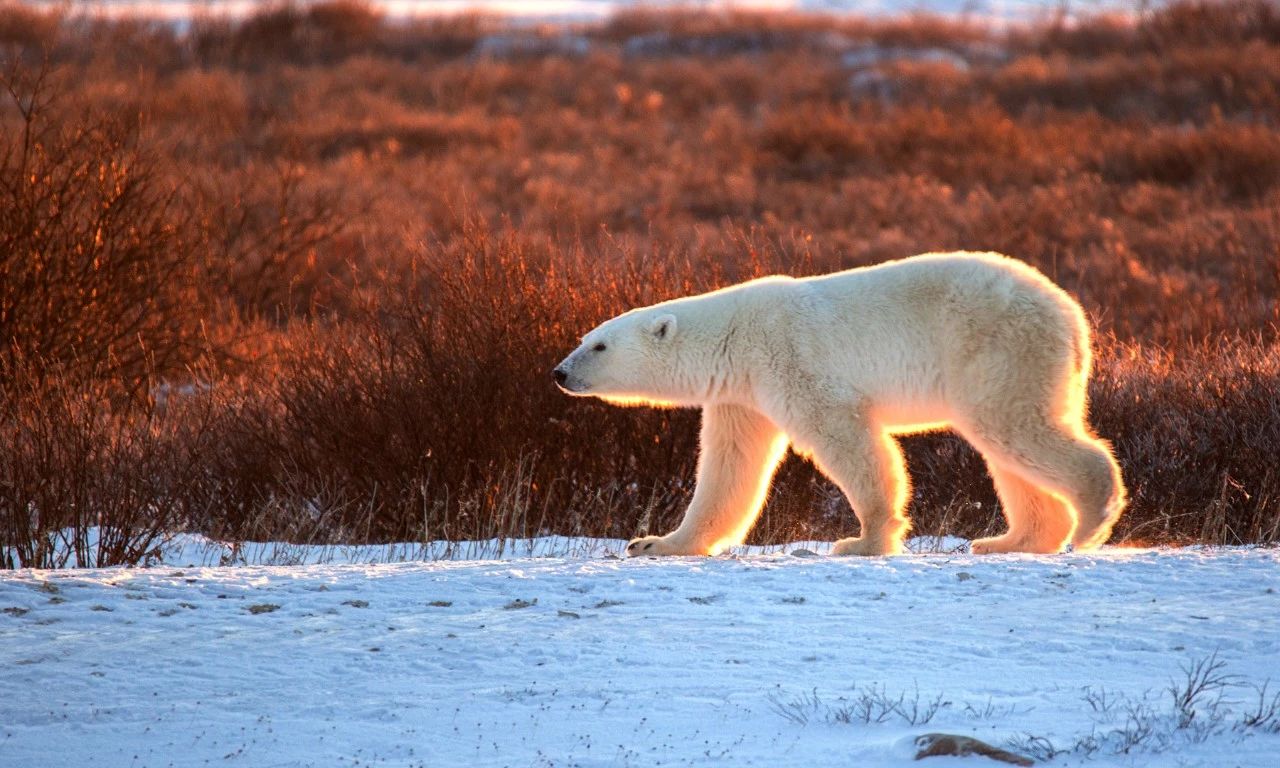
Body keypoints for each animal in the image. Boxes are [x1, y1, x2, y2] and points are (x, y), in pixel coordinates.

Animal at [555, 253, 1126, 558]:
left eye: (599, 346)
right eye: (585, 337)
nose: (559, 373)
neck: (736, 336)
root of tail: (1072, 316)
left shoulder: (789, 362)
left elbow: (847, 440)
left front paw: (863, 540)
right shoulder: (742, 395)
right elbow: (729, 468)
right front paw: (654, 543)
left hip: (997, 347)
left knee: (1017, 429)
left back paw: (1090, 521)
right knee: (1006, 451)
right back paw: (1011, 540)